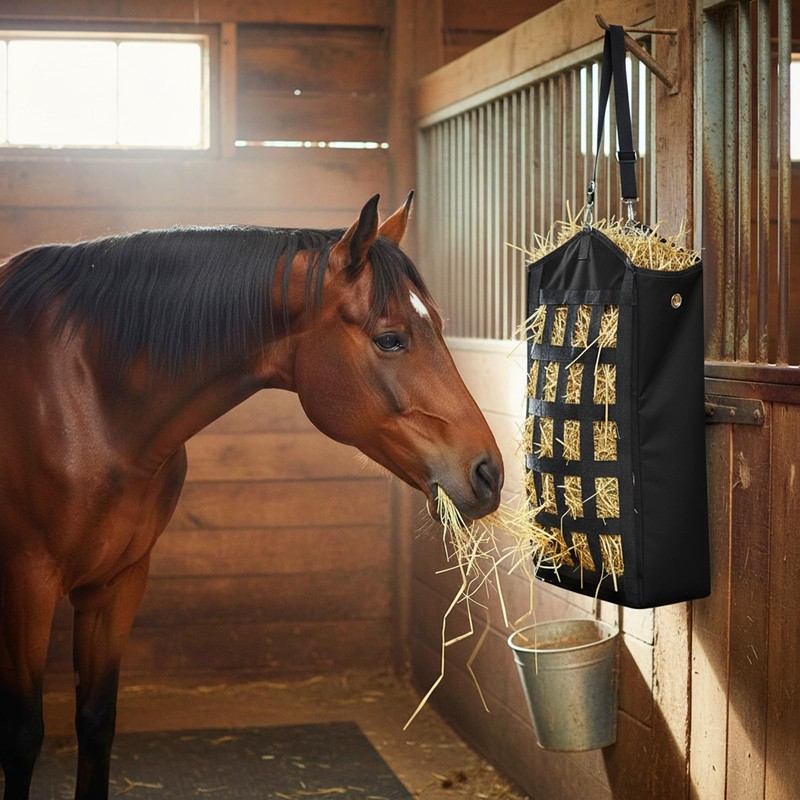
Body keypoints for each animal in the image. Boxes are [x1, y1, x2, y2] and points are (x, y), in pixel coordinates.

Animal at [0, 193, 503, 799]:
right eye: (390, 338)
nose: (488, 473)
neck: (87, 397)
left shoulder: (117, 582)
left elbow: (96, 722)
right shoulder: (26, 582)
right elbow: (22, 735)